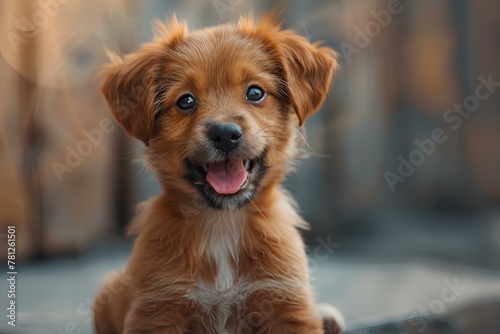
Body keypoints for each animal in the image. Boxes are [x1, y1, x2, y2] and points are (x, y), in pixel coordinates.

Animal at [94, 14, 342, 332]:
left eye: (255, 92)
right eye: (186, 101)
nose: (224, 134)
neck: (223, 223)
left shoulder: (284, 303)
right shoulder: (159, 309)